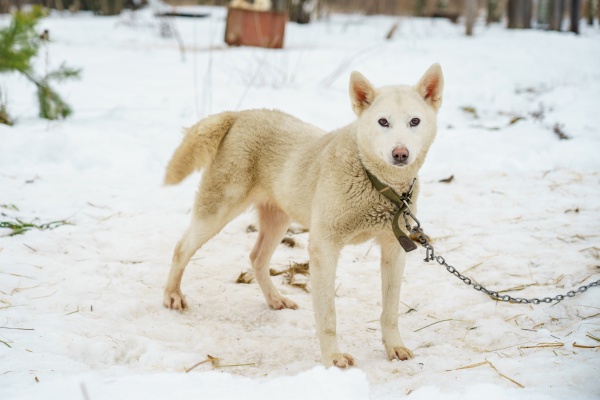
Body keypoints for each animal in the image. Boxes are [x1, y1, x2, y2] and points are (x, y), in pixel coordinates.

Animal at [162, 65, 442, 368]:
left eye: (414, 121)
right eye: (383, 121)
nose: (400, 153)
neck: (378, 183)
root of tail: (239, 115)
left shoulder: (393, 250)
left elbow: (390, 311)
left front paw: (394, 347)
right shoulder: (324, 248)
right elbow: (328, 314)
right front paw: (332, 358)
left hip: (278, 220)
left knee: (256, 258)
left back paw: (275, 299)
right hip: (216, 212)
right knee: (181, 248)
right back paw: (172, 295)